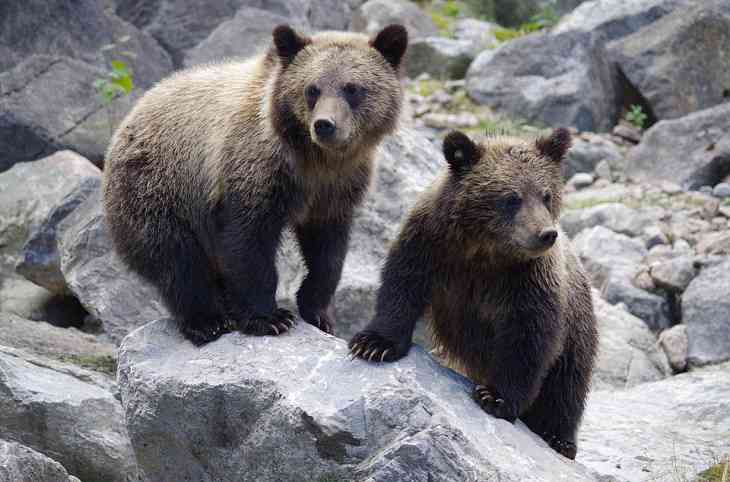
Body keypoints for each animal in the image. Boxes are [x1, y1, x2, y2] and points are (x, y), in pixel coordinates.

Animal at [103, 23, 410, 346]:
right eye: (312, 89)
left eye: (352, 88)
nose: (325, 124)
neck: (314, 160)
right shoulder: (254, 172)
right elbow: (248, 243)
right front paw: (269, 317)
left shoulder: (336, 189)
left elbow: (328, 251)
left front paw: (318, 311)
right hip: (157, 189)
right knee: (178, 261)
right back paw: (206, 321)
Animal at [348, 128, 596, 460]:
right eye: (511, 198)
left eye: (546, 194)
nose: (546, 233)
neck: (484, 251)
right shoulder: (430, 245)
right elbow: (401, 286)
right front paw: (374, 344)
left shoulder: (528, 282)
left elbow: (527, 339)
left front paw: (496, 396)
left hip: (578, 326)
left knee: (567, 383)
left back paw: (559, 438)